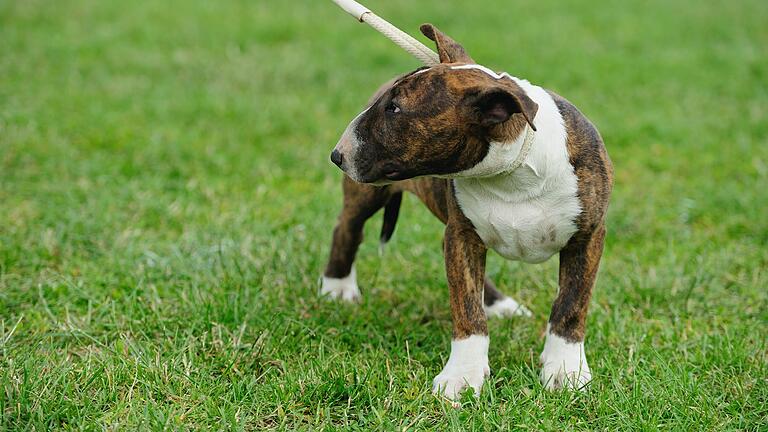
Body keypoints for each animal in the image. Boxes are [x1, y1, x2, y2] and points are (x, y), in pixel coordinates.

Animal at [318, 24, 612, 402]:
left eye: (395, 109)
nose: (337, 155)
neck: (510, 172)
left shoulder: (587, 237)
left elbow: (571, 306)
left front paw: (565, 371)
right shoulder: (461, 236)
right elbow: (467, 311)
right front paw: (462, 376)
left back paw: (501, 305)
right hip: (368, 195)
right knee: (347, 228)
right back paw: (337, 287)